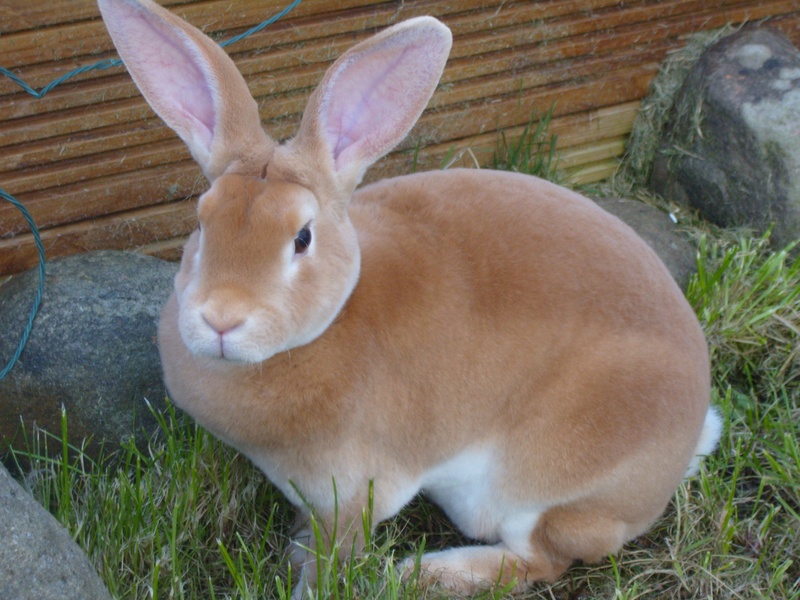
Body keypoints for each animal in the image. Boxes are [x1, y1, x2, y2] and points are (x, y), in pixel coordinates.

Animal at [98, 0, 722, 595]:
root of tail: (685, 444)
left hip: (544, 482)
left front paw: (310, 581)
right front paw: (294, 552)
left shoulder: (354, 491)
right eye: (202, 223)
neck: (332, 323)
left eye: (302, 237)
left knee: (542, 560)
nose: (221, 319)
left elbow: (335, 557)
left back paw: (428, 574)